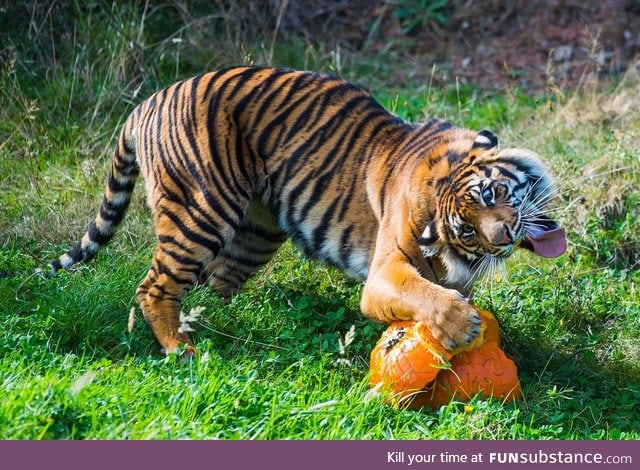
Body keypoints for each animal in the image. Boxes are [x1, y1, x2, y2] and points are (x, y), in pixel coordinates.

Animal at [52, 66, 568, 356]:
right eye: (468, 231)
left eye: (491, 195)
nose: (503, 236)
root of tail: (146, 103)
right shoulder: (384, 274)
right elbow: (424, 295)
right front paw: (462, 325)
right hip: (200, 211)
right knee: (154, 286)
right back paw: (185, 351)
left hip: (257, 233)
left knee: (215, 284)